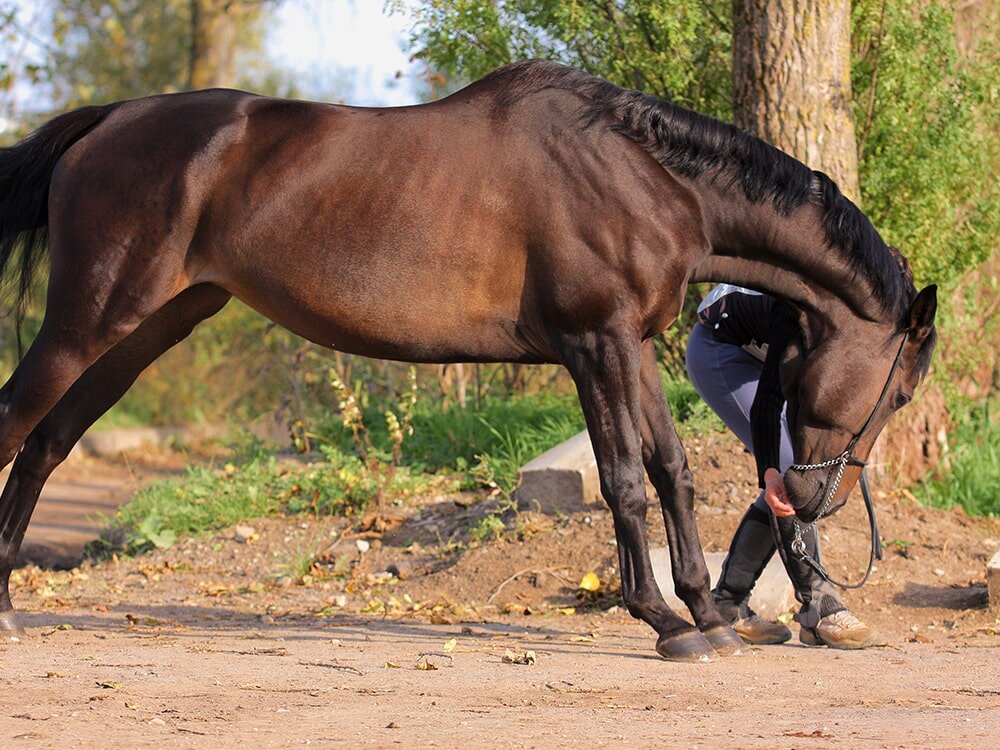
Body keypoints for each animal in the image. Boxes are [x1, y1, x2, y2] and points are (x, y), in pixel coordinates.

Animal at [0, 60, 937, 661]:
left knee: (45, 446)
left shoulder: (631, 344)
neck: (641, 174)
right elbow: (622, 479)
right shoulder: (592, 344)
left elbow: (671, 468)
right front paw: (664, 622)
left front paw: (707, 613)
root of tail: (105, 121)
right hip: (90, 321)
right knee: (16, 424)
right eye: (897, 393)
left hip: (148, 330)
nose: (814, 500)